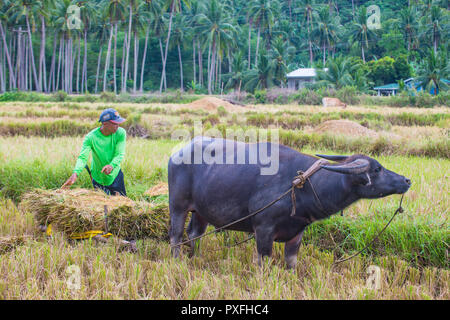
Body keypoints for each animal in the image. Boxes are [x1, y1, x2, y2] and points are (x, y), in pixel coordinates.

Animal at [167, 137, 410, 268]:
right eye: (377, 169)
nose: (406, 180)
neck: (302, 186)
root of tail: (178, 152)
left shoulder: (296, 233)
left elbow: (291, 262)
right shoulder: (263, 229)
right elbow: (263, 261)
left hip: (201, 211)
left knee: (194, 233)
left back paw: (197, 258)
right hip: (177, 206)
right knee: (176, 235)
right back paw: (177, 261)